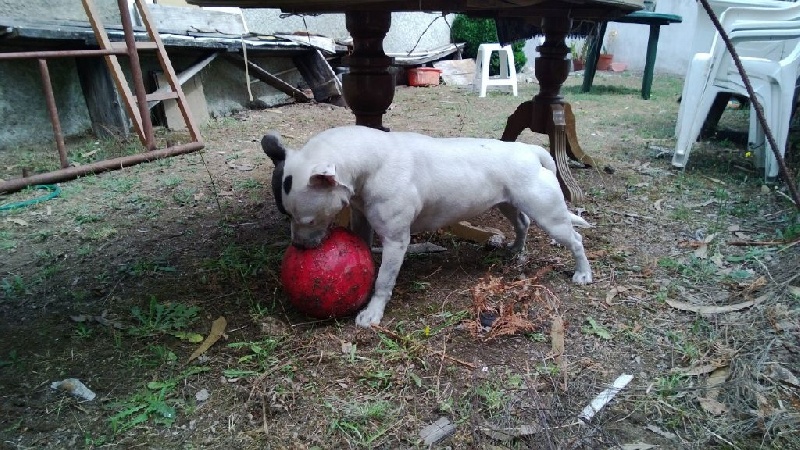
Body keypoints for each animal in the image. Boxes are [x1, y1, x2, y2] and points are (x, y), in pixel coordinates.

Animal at [260, 125, 592, 328]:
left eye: (307, 220)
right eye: (285, 215)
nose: (299, 246)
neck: (369, 162)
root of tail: (531, 151)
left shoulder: (396, 240)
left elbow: (384, 280)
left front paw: (373, 312)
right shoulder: (362, 218)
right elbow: (363, 246)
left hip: (549, 215)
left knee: (575, 239)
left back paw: (583, 273)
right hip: (508, 203)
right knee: (522, 223)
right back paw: (516, 250)